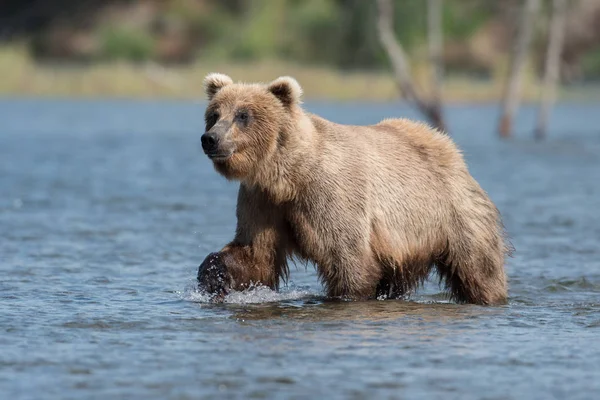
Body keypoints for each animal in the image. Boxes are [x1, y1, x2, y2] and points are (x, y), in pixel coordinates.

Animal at [197, 74, 510, 306]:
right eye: (214, 114)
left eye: (243, 115)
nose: (210, 139)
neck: (287, 175)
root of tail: (449, 147)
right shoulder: (262, 199)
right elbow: (255, 254)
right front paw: (212, 275)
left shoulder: (329, 194)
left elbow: (347, 259)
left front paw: (344, 295)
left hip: (453, 213)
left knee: (478, 267)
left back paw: (488, 295)